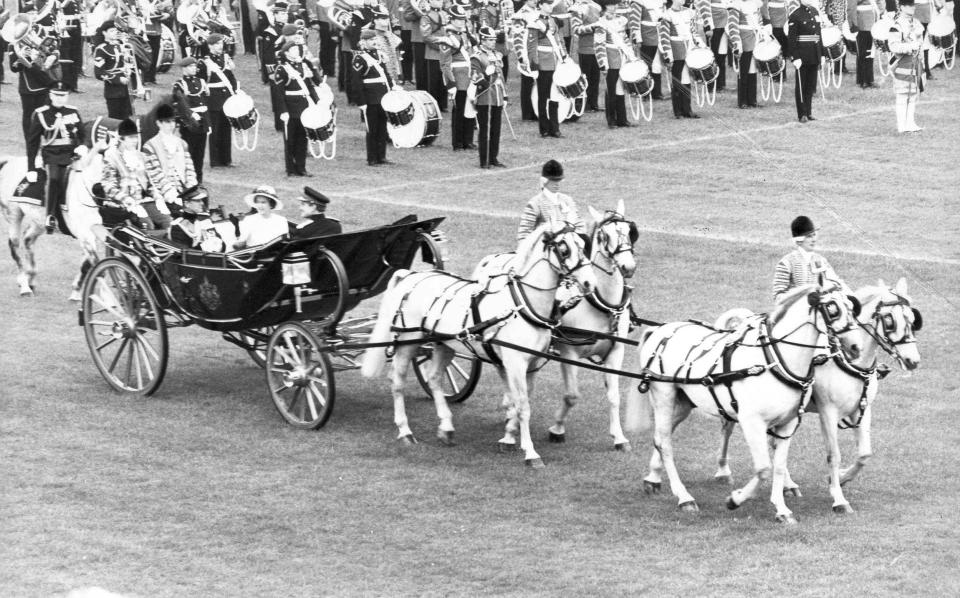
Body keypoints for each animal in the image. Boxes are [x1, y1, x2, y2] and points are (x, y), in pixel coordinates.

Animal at [362, 223, 596, 472]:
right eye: (563, 248)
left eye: (583, 245)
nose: (590, 283)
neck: (522, 305)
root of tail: (410, 275)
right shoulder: (515, 363)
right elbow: (523, 406)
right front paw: (530, 453)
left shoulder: (531, 363)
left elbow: (519, 401)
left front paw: (508, 436)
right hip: (409, 339)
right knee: (397, 381)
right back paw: (405, 431)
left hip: (444, 343)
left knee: (434, 378)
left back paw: (446, 427)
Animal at [472, 202, 636, 450]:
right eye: (605, 236)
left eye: (629, 232)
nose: (628, 267)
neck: (598, 302)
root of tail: (490, 259)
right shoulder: (569, 353)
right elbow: (571, 395)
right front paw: (557, 428)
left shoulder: (616, 350)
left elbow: (614, 397)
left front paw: (619, 437)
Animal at [632, 284, 864, 524]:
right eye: (832, 309)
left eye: (852, 308)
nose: (856, 346)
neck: (775, 361)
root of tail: (659, 330)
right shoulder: (751, 422)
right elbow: (763, 469)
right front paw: (736, 499)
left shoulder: (787, 424)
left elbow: (778, 466)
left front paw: (782, 509)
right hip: (664, 397)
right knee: (666, 444)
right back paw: (684, 497)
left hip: (683, 403)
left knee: (660, 438)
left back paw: (653, 478)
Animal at [712, 278, 924, 512]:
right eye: (889, 320)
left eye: (913, 319)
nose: (913, 360)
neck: (849, 362)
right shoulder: (828, 412)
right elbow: (834, 455)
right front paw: (839, 498)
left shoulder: (862, 409)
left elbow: (864, 454)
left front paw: (842, 477)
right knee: (728, 429)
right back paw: (723, 471)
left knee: (775, 444)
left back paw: (787, 485)